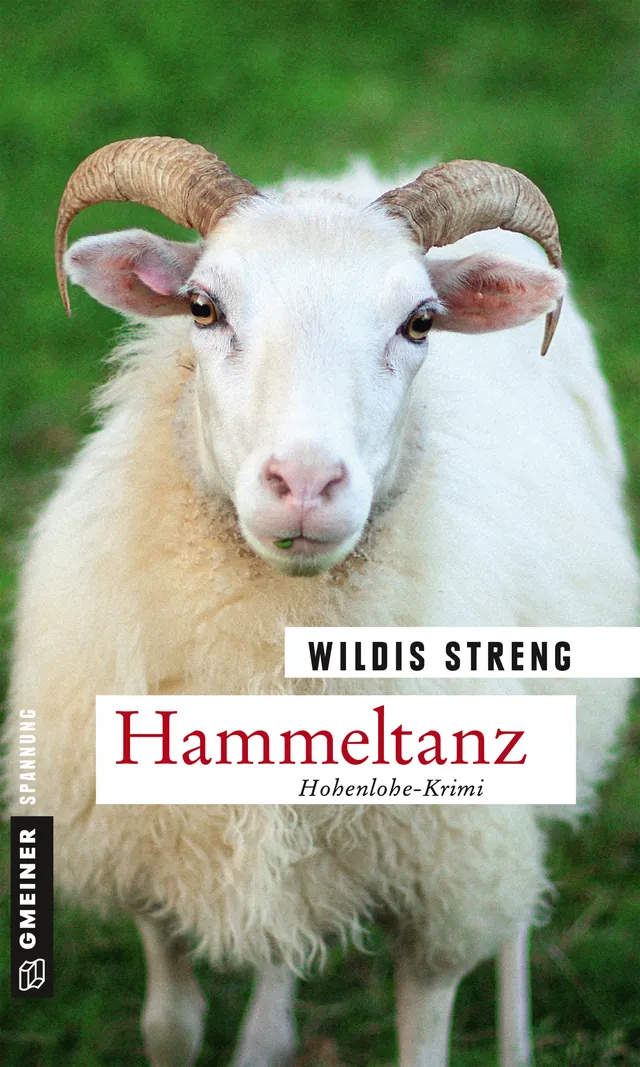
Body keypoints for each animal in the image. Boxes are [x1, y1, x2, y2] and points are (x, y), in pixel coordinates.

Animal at [4, 135, 638, 1067]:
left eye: (420, 322)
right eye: (201, 307)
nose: (305, 483)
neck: (277, 656)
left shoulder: (442, 892)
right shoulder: (145, 854)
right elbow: (170, 1025)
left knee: (517, 920)